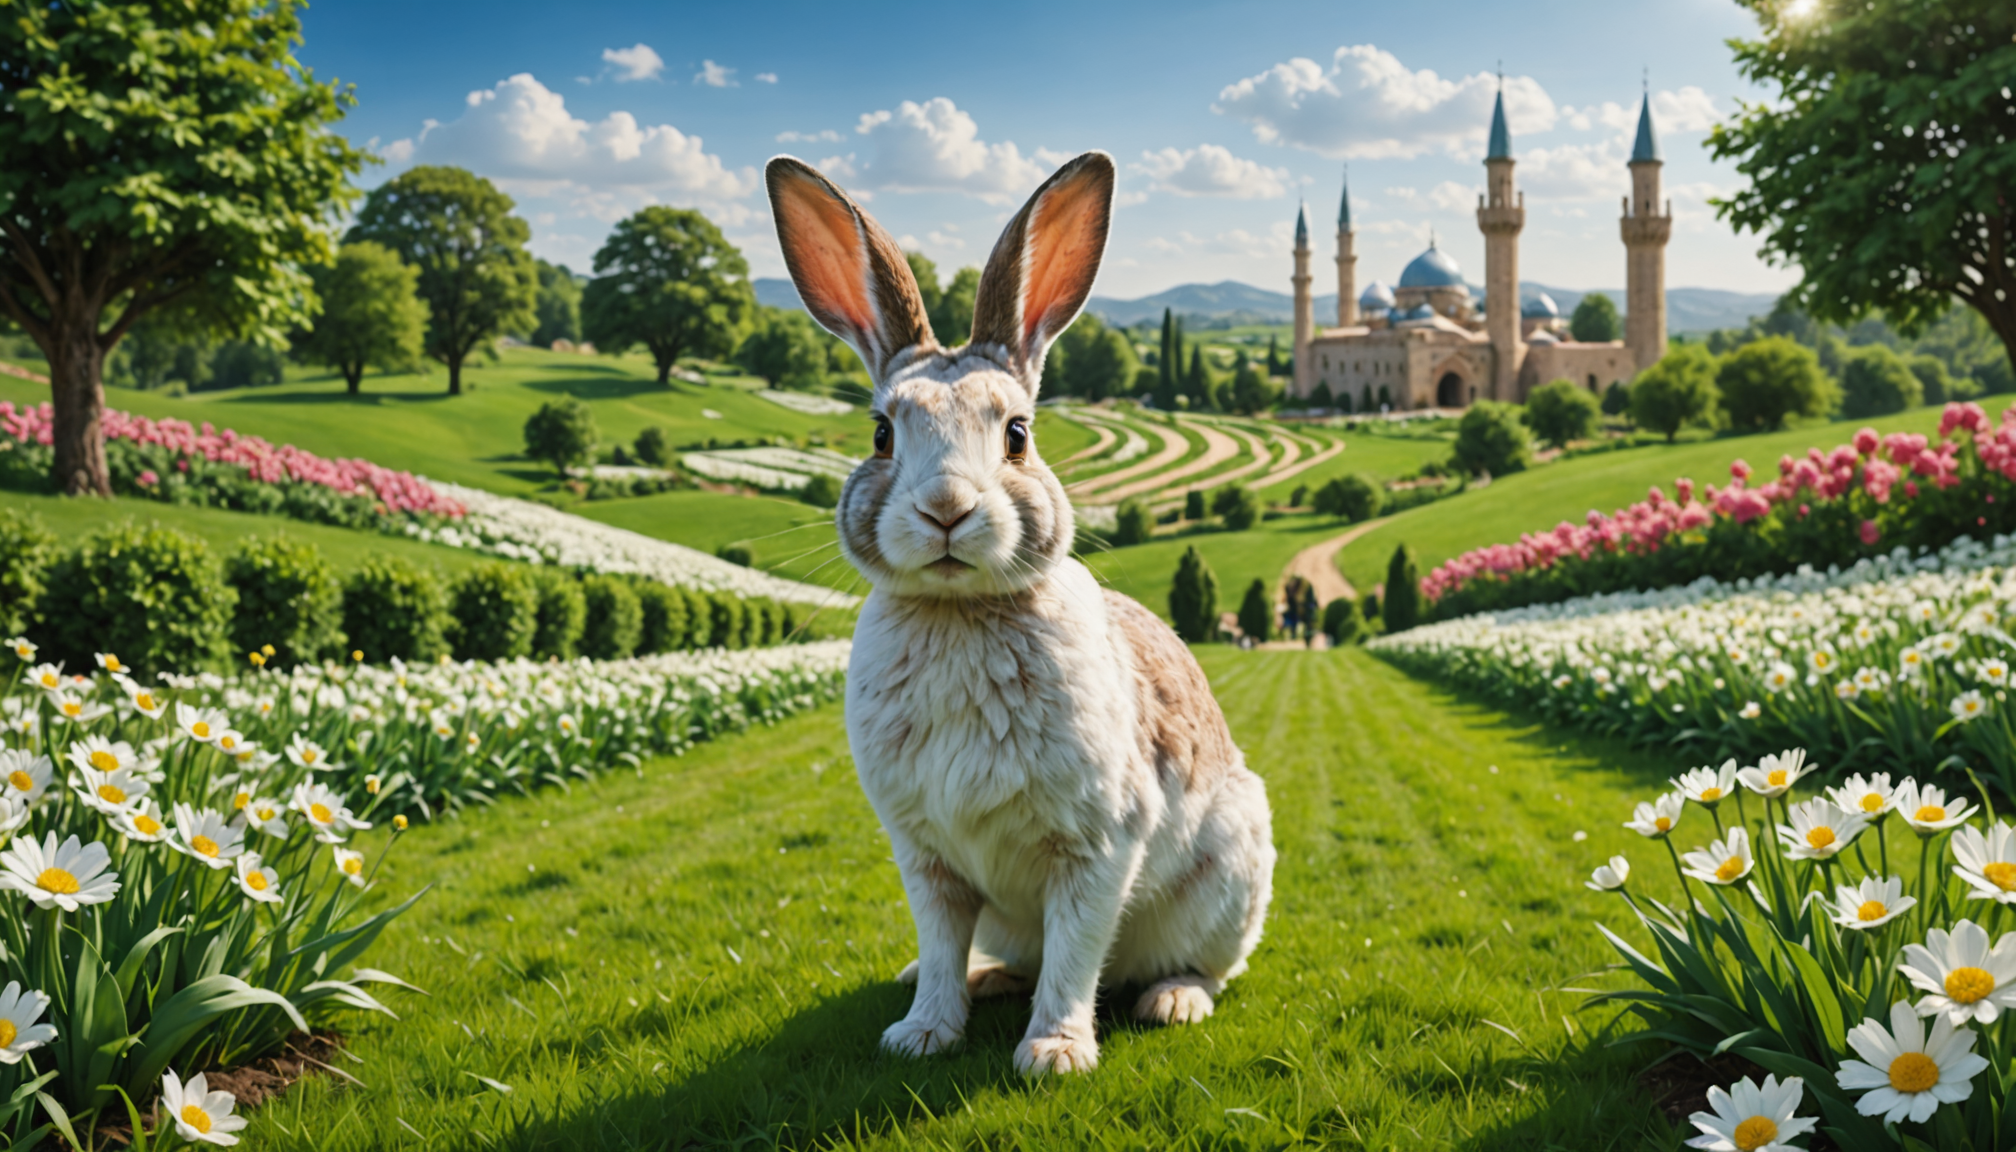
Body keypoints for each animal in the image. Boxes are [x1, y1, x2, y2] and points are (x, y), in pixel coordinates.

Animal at [765, 150, 1274, 1076]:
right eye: (882, 434)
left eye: (1017, 435)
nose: (945, 509)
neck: (960, 612)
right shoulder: (928, 858)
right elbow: (939, 943)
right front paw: (921, 1033)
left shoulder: (1098, 845)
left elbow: (1076, 951)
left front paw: (1054, 1054)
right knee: (1000, 954)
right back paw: (987, 979)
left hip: (1231, 877)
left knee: (1208, 966)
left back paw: (1172, 1000)